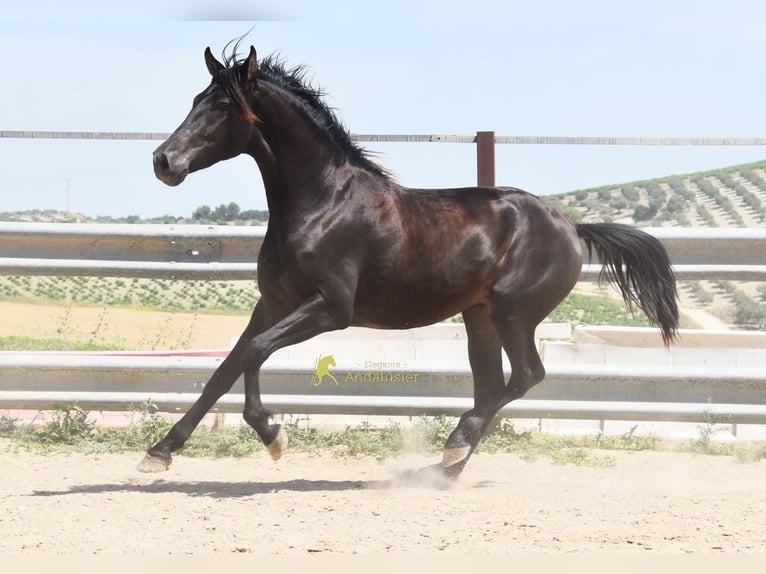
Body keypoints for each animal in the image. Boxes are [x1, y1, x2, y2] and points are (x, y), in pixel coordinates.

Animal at [142, 42, 679, 478]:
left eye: (222, 108)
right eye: (195, 100)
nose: (163, 162)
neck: (323, 203)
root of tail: (570, 226)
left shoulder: (331, 308)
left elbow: (254, 353)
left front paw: (273, 437)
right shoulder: (272, 303)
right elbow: (226, 367)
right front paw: (159, 452)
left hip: (514, 314)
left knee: (526, 377)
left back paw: (453, 448)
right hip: (479, 317)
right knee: (491, 386)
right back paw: (447, 467)